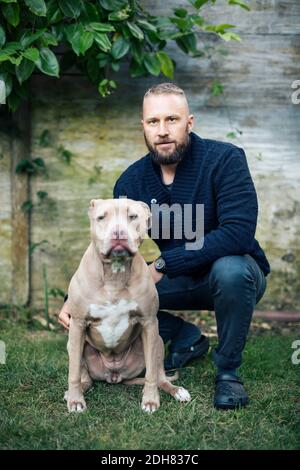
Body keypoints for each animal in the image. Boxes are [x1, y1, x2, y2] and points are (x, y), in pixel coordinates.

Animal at [63, 197, 191, 412]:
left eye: (132, 216)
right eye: (101, 217)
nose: (118, 233)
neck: (115, 274)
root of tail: (115, 376)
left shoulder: (149, 322)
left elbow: (151, 374)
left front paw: (150, 400)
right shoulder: (77, 324)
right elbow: (72, 373)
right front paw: (75, 401)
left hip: (157, 341)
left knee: (159, 376)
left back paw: (176, 390)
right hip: (74, 344)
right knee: (84, 377)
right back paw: (77, 391)